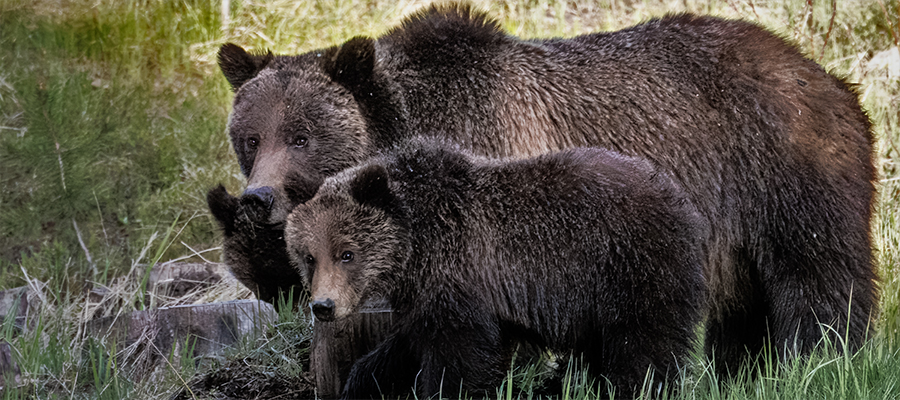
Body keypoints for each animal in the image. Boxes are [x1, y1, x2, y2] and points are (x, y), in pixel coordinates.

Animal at [284, 138, 708, 399]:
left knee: (642, 347)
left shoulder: (460, 273)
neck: (415, 245)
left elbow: (458, 357)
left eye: (347, 253)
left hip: (630, 269)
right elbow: (406, 343)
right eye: (308, 256)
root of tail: (680, 198)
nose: (323, 306)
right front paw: (362, 380)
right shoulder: (427, 292)